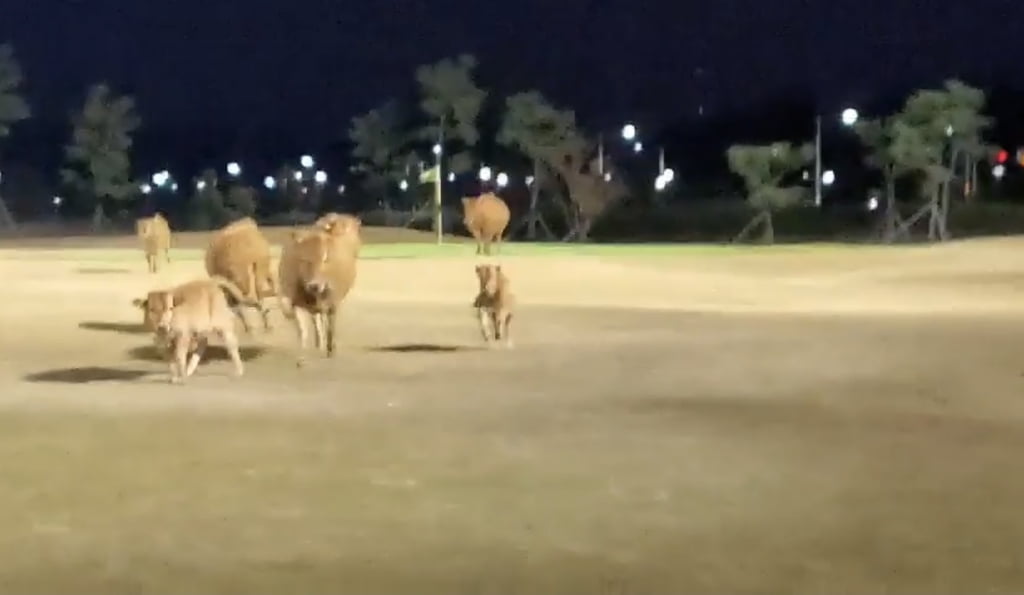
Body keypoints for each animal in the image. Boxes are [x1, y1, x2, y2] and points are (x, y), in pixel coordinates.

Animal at [278, 218, 362, 366]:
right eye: (305, 260)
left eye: (325, 259)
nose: (315, 285)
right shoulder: (297, 304)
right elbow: (303, 331)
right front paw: (302, 359)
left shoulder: (333, 304)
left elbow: (331, 328)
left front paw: (331, 350)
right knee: (316, 319)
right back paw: (319, 342)